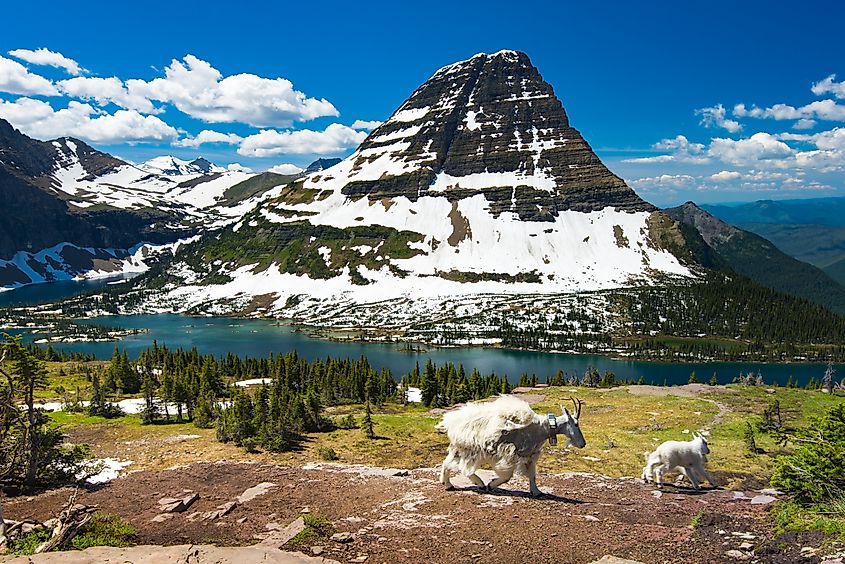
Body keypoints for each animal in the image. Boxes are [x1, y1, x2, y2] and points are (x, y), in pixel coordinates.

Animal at [436, 395, 586, 497]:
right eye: (576, 424)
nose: (583, 444)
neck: (541, 428)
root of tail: (450, 422)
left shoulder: (529, 455)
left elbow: (532, 475)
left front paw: (536, 492)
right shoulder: (509, 453)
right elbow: (507, 476)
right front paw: (491, 484)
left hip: (459, 448)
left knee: (447, 463)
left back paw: (448, 484)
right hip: (470, 448)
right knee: (462, 467)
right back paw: (479, 483)